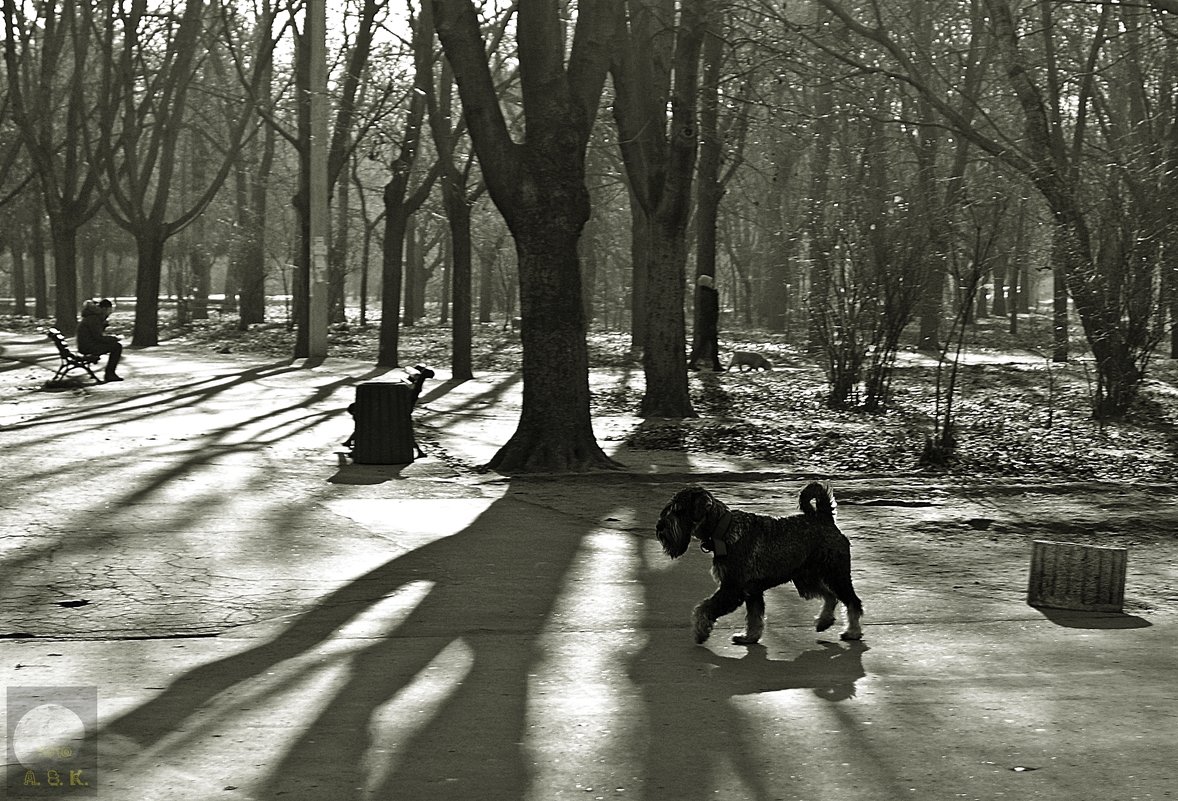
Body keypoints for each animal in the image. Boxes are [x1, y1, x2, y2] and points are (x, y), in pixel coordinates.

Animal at [659, 482, 862, 645]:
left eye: (678, 510)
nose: (660, 527)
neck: (722, 530)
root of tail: (824, 518)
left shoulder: (733, 589)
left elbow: (704, 609)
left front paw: (701, 631)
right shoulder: (752, 591)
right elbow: (754, 617)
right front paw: (749, 637)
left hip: (836, 575)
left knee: (852, 601)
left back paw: (852, 632)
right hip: (806, 580)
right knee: (830, 596)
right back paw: (824, 621)